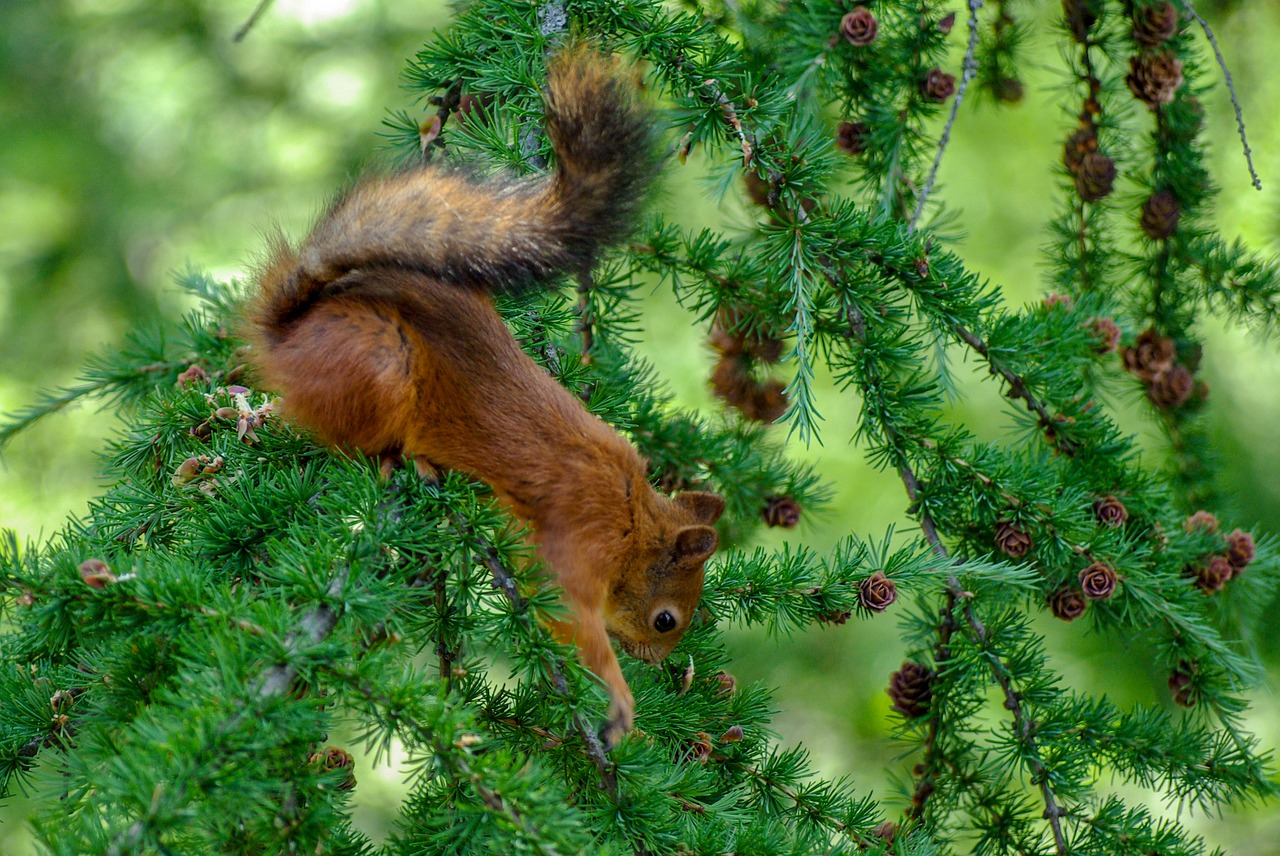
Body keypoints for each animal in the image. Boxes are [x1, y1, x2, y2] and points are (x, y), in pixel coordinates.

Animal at [244, 45, 727, 747]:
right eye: (667, 619)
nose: (658, 664)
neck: (635, 514)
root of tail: (286, 339)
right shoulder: (580, 538)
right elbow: (565, 607)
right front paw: (619, 699)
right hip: (381, 366)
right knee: (338, 436)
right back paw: (398, 458)